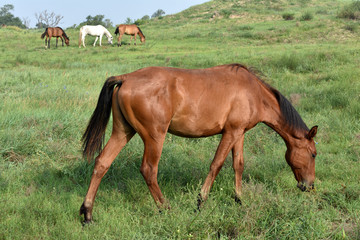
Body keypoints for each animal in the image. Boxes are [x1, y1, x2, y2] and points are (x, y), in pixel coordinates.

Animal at [79, 63, 318, 223]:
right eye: (313, 154)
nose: (309, 185)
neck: (254, 92)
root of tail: (126, 78)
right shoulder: (230, 132)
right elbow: (216, 165)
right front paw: (200, 201)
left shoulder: (239, 133)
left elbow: (238, 165)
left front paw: (238, 199)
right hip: (154, 137)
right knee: (148, 170)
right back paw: (166, 209)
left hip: (122, 132)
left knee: (102, 163)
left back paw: (87, 213)